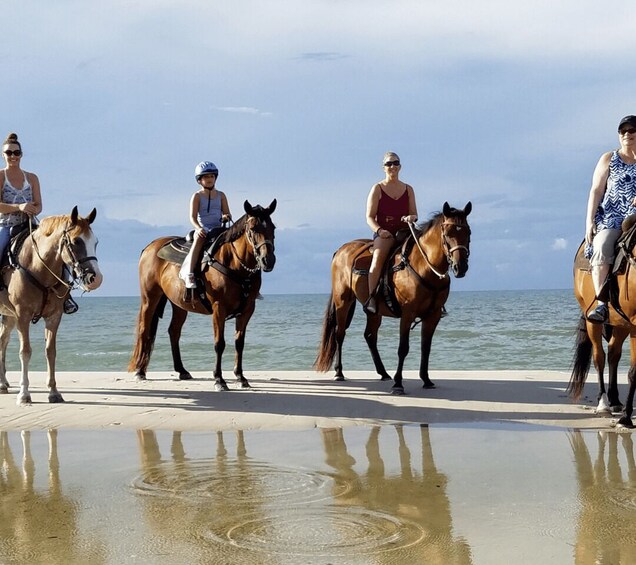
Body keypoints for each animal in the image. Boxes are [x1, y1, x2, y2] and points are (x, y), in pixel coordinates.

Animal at [0, 207, 102, 406]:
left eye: (95, 242)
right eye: (76, 241)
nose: (96, 279)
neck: (37, 266)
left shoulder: (54, 316)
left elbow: (51, 352)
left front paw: (54, 392)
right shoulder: (22, 316)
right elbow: (25, 351)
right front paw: (24, 394)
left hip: (8, 316)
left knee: (2, 342)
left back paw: (3, 383)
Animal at [129, 197, 276, 388]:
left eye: (273, 227)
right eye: (253, 228)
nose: (268, 260)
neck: (234, 263)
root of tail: (150, 246)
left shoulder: (247, 309)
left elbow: (239, 343)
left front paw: (240, 377)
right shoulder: (219, 308)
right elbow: (219, 343)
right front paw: (219, 379)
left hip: (179, 305)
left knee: (174, 332)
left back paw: (182, 370)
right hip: (150, 298)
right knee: (144, 330)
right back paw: (140, 371)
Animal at [314, 202, 470, 392]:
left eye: (468, 233)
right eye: (447, 234)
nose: (460, 267)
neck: (424, 266)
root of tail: (340, 250)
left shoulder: (433, 316)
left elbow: (426, 347)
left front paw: (426, 379)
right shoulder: (408, 313)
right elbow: (403, 348)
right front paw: (398, 383)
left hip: (374, 311)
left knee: (370, 336)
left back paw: (383, 372)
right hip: (343, 302)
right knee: (340, 334)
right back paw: (339, 372)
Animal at [568, 236, 636, 426]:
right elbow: (634, 372)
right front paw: (626, 418)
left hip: (621, 323)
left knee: (613, 353)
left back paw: (614, 401)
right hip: (592, 320)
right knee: (599, 357)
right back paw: (603, 404)